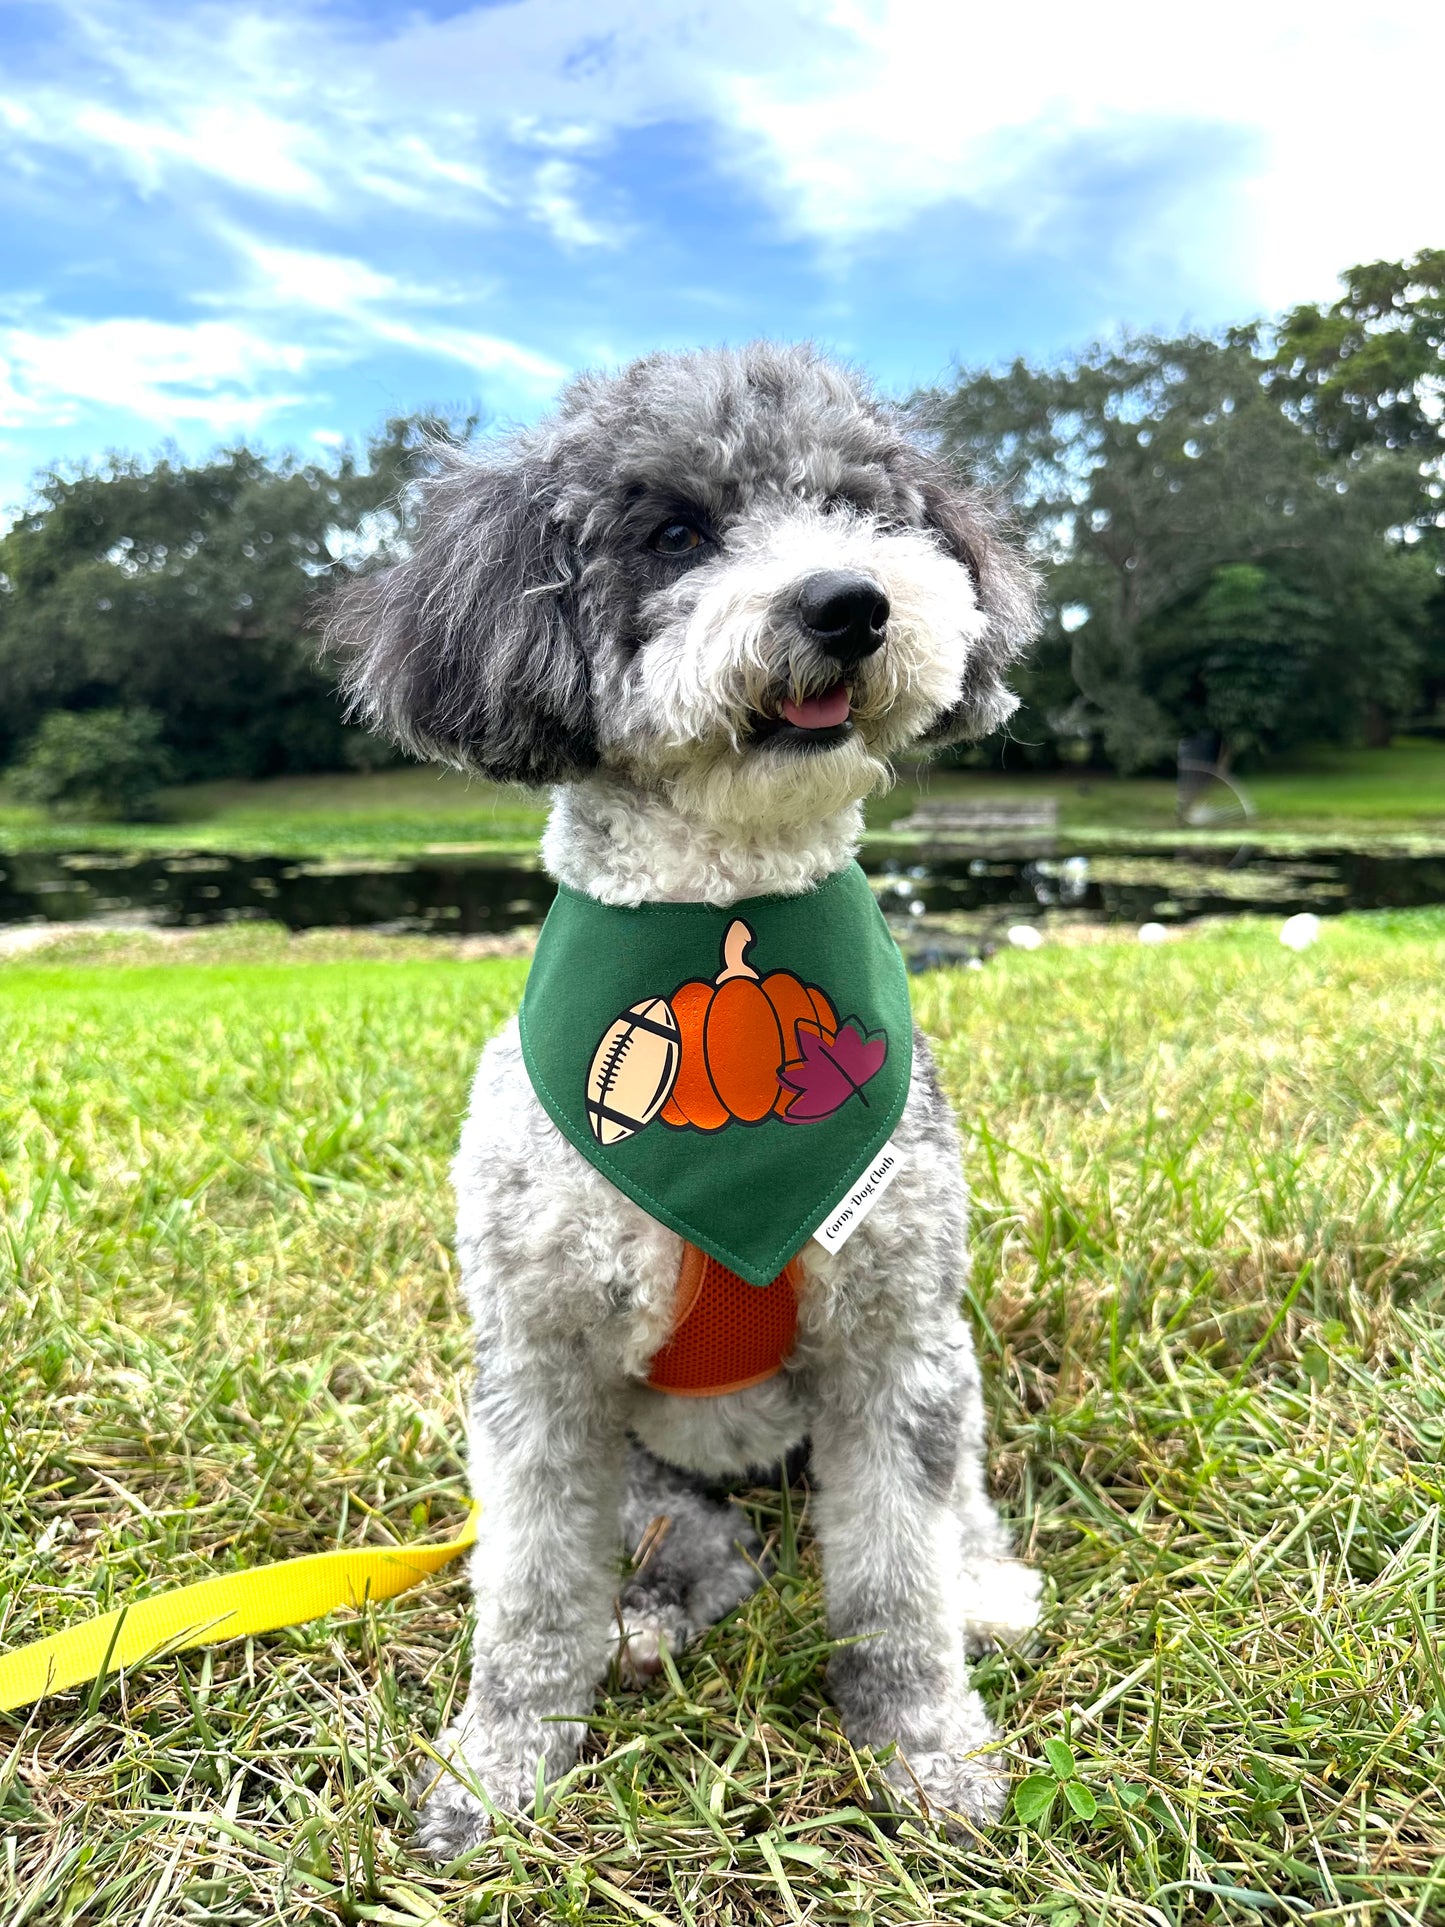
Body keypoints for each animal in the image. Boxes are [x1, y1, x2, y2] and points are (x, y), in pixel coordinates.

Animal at [331, 343, 1040, 1849]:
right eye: (672, 533)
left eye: (862, 508)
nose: (848, 600)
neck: (726, 915)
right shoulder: (539, 1370)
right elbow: (532, 1592)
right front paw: (499, 1765)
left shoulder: (890, 1336)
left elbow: (894, 1580)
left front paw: (924, 1746)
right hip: (653, 1474)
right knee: (693, 1549)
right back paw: (648, 1618)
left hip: (925, 1382)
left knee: (947, 1504)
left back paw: (984, 1584)